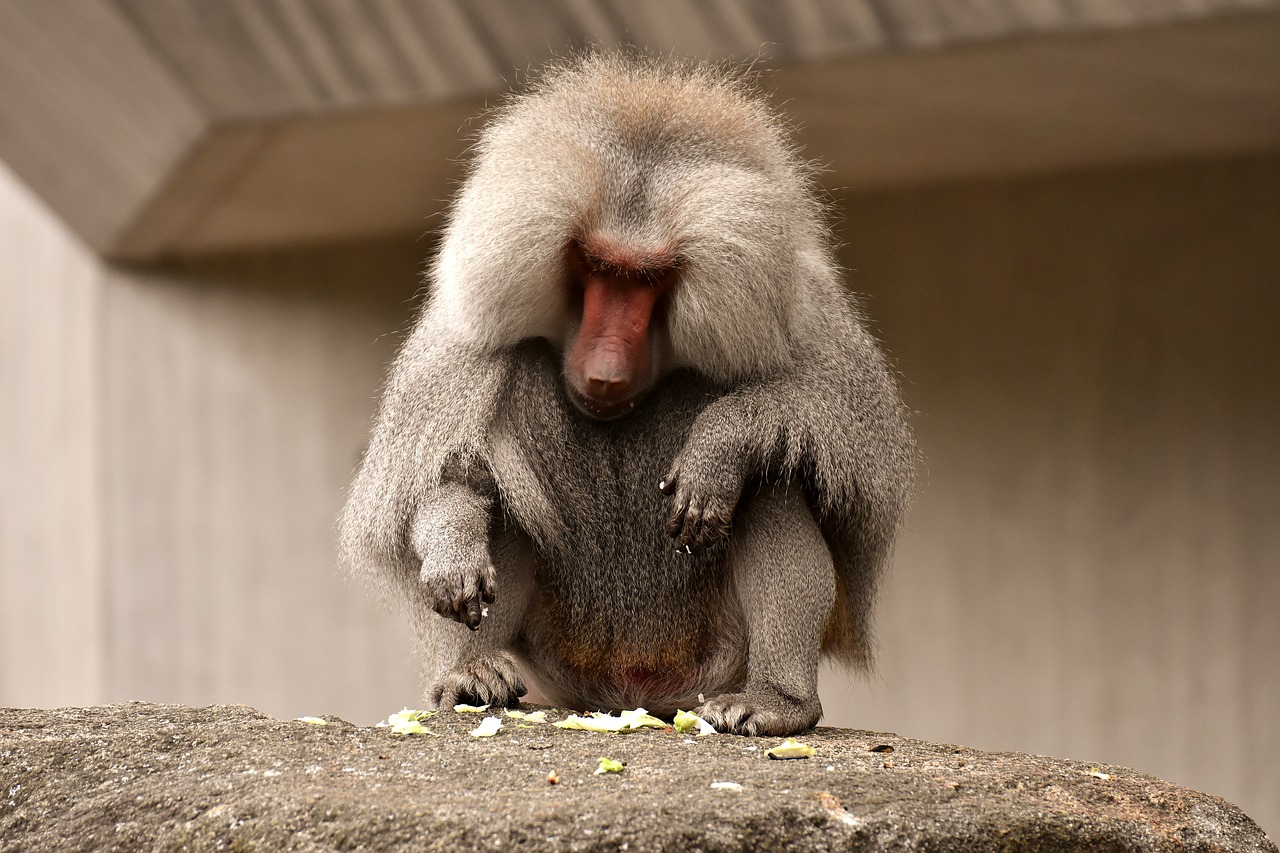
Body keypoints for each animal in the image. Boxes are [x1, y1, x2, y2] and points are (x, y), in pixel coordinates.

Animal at [343, 53, 911, 732]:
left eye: (650, 278)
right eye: (596, 267)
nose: (607, 371)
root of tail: (633, 695)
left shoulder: (806, 311)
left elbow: (844, 444)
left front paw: (719, 446)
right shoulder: (459, 343)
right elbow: (439, 477)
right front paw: (453, 550)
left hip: (712, 661)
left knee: (767, 485)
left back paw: (779, 702)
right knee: (506, 481)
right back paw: (470, 675)